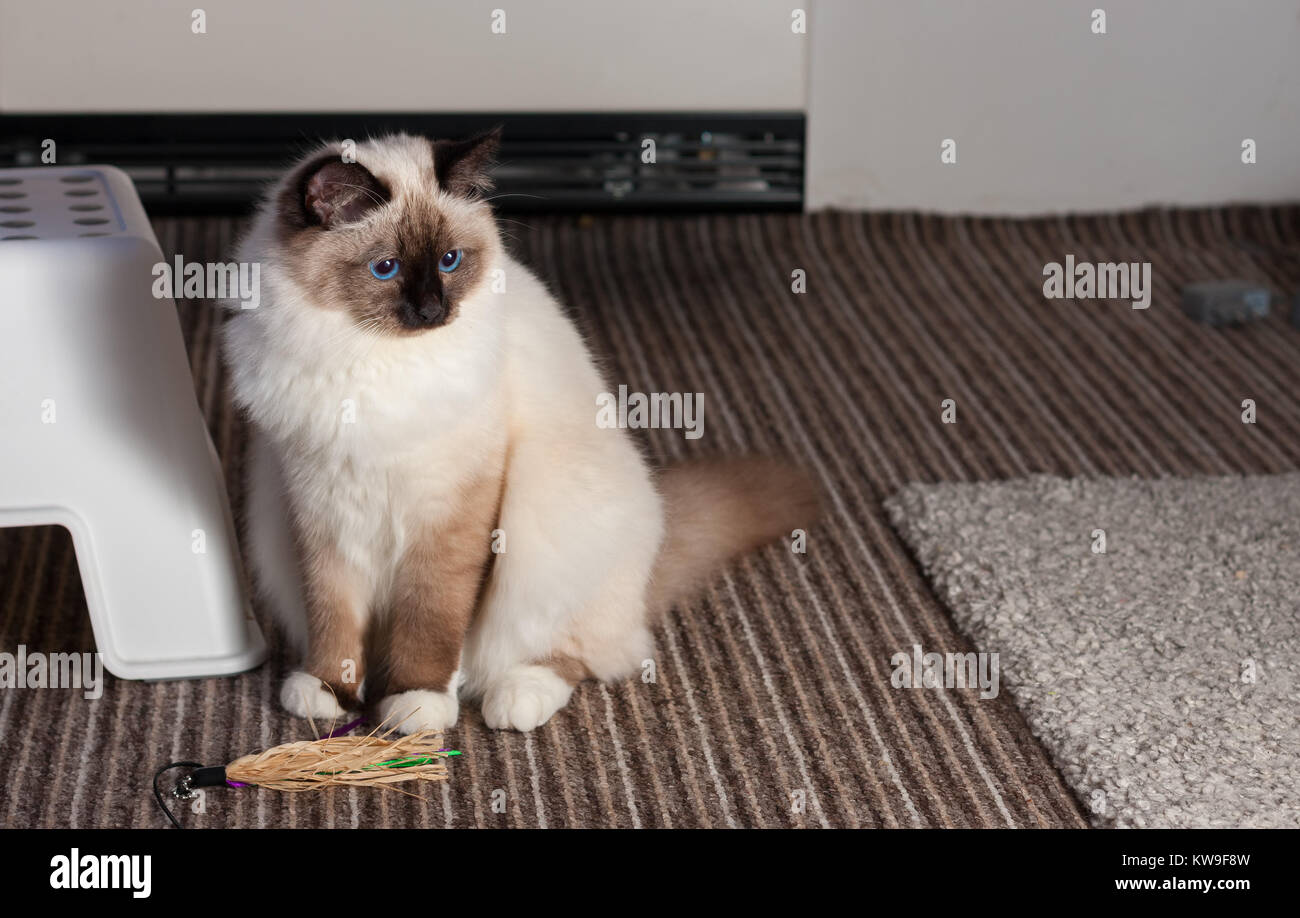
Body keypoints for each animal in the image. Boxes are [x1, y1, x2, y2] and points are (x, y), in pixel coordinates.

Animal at [218, 130, 816, 728]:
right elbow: (334, 615)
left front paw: (417, 704)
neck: (372, 358)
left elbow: (433, 620)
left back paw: (515, 700)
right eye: (385, 268)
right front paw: (329, 691)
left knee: (585, 654)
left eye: (451, 260)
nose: (434, 310)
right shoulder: (321, 503)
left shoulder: (450, 510)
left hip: (556, 523)